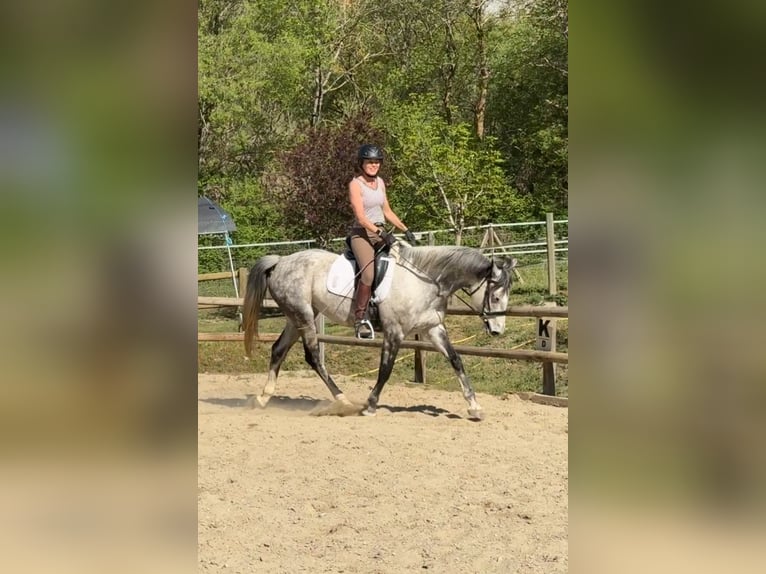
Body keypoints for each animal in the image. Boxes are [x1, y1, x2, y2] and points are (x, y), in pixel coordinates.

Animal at [243, 241, 520, 420]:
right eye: (495, 296)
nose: (498, 331)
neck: (425, 282)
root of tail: (280, 262)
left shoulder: (433, 329)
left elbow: (456, 361)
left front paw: (474, 407)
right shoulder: (394, 332)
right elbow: (385, 370)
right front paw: (370, 405)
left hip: (296, 318)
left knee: (278, 350)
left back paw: (263, 398)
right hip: (304, 316)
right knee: (312, 357)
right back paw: (343, 401)